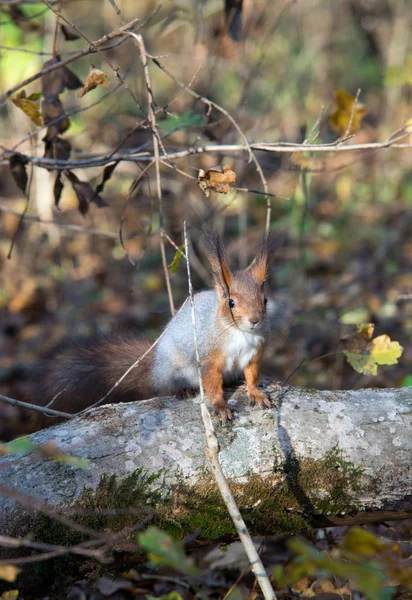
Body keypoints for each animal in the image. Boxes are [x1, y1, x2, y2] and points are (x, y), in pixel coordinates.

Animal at [31, 230, 276, 422]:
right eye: (231, 302)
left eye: (264, 300)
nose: (254, 320)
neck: (241, 334)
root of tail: (154, 369)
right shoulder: (208, 357)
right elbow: (212, 384)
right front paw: (221, 406)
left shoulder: (254, 354)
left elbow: (252, 375)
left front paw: (256, 392)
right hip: (173, 369)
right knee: (166, 387)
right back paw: (181, 389)